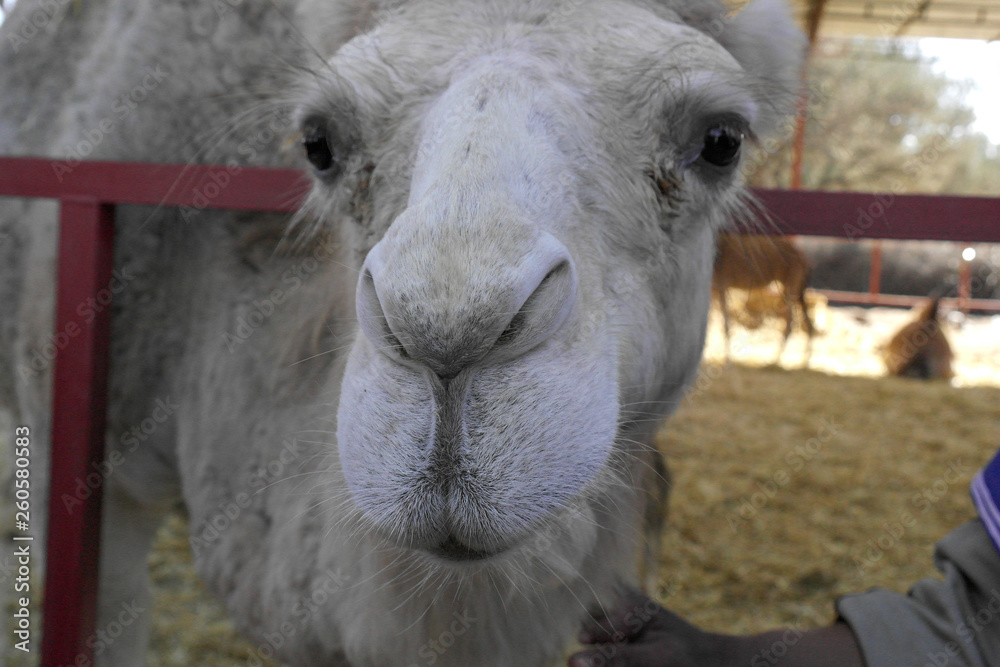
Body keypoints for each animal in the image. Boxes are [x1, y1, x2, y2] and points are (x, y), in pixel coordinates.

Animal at [712, 233, 816, 364]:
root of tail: (803, 258)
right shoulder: (714, 290)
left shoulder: (721, 288)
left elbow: (725, 325)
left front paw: (728, 360)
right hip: (795, 290)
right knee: (808, 323)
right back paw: (804, 360)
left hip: (791, 289)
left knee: (790, 321)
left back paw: (776, 360)